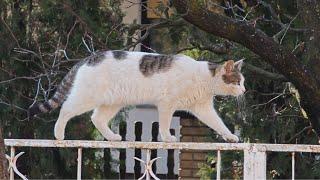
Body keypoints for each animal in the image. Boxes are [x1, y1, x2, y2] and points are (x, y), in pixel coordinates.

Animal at [28, 50, 246, 142]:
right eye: (237, 82)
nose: (244, 91)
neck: (204, 78)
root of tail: (88, 58)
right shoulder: (167, 104)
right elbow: (165, 124)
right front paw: (168, 138)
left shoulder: (203, 108)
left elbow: (219, 124)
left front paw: (230, 136)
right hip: (86, 97)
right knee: (66, 109)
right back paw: (58, 134)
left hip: (112, 102)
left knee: (97, 118)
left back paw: (112, 137)